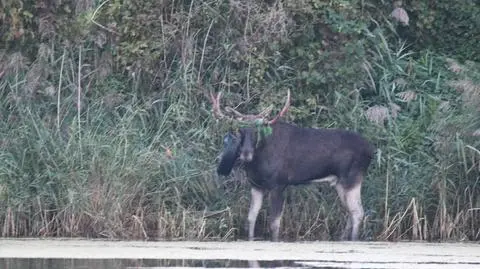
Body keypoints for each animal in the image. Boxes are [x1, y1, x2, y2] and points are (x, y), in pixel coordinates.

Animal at [211, 90, 376, 241]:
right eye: (239, 130)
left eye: (257, 131)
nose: (246, 153)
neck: (258, 162)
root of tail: (371, 150)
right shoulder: (256, 185)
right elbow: (251, 218)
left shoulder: (279, 184)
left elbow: (274, 223)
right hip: (340, 183)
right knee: (350, 212)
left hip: (352, 177)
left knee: (357, 212)